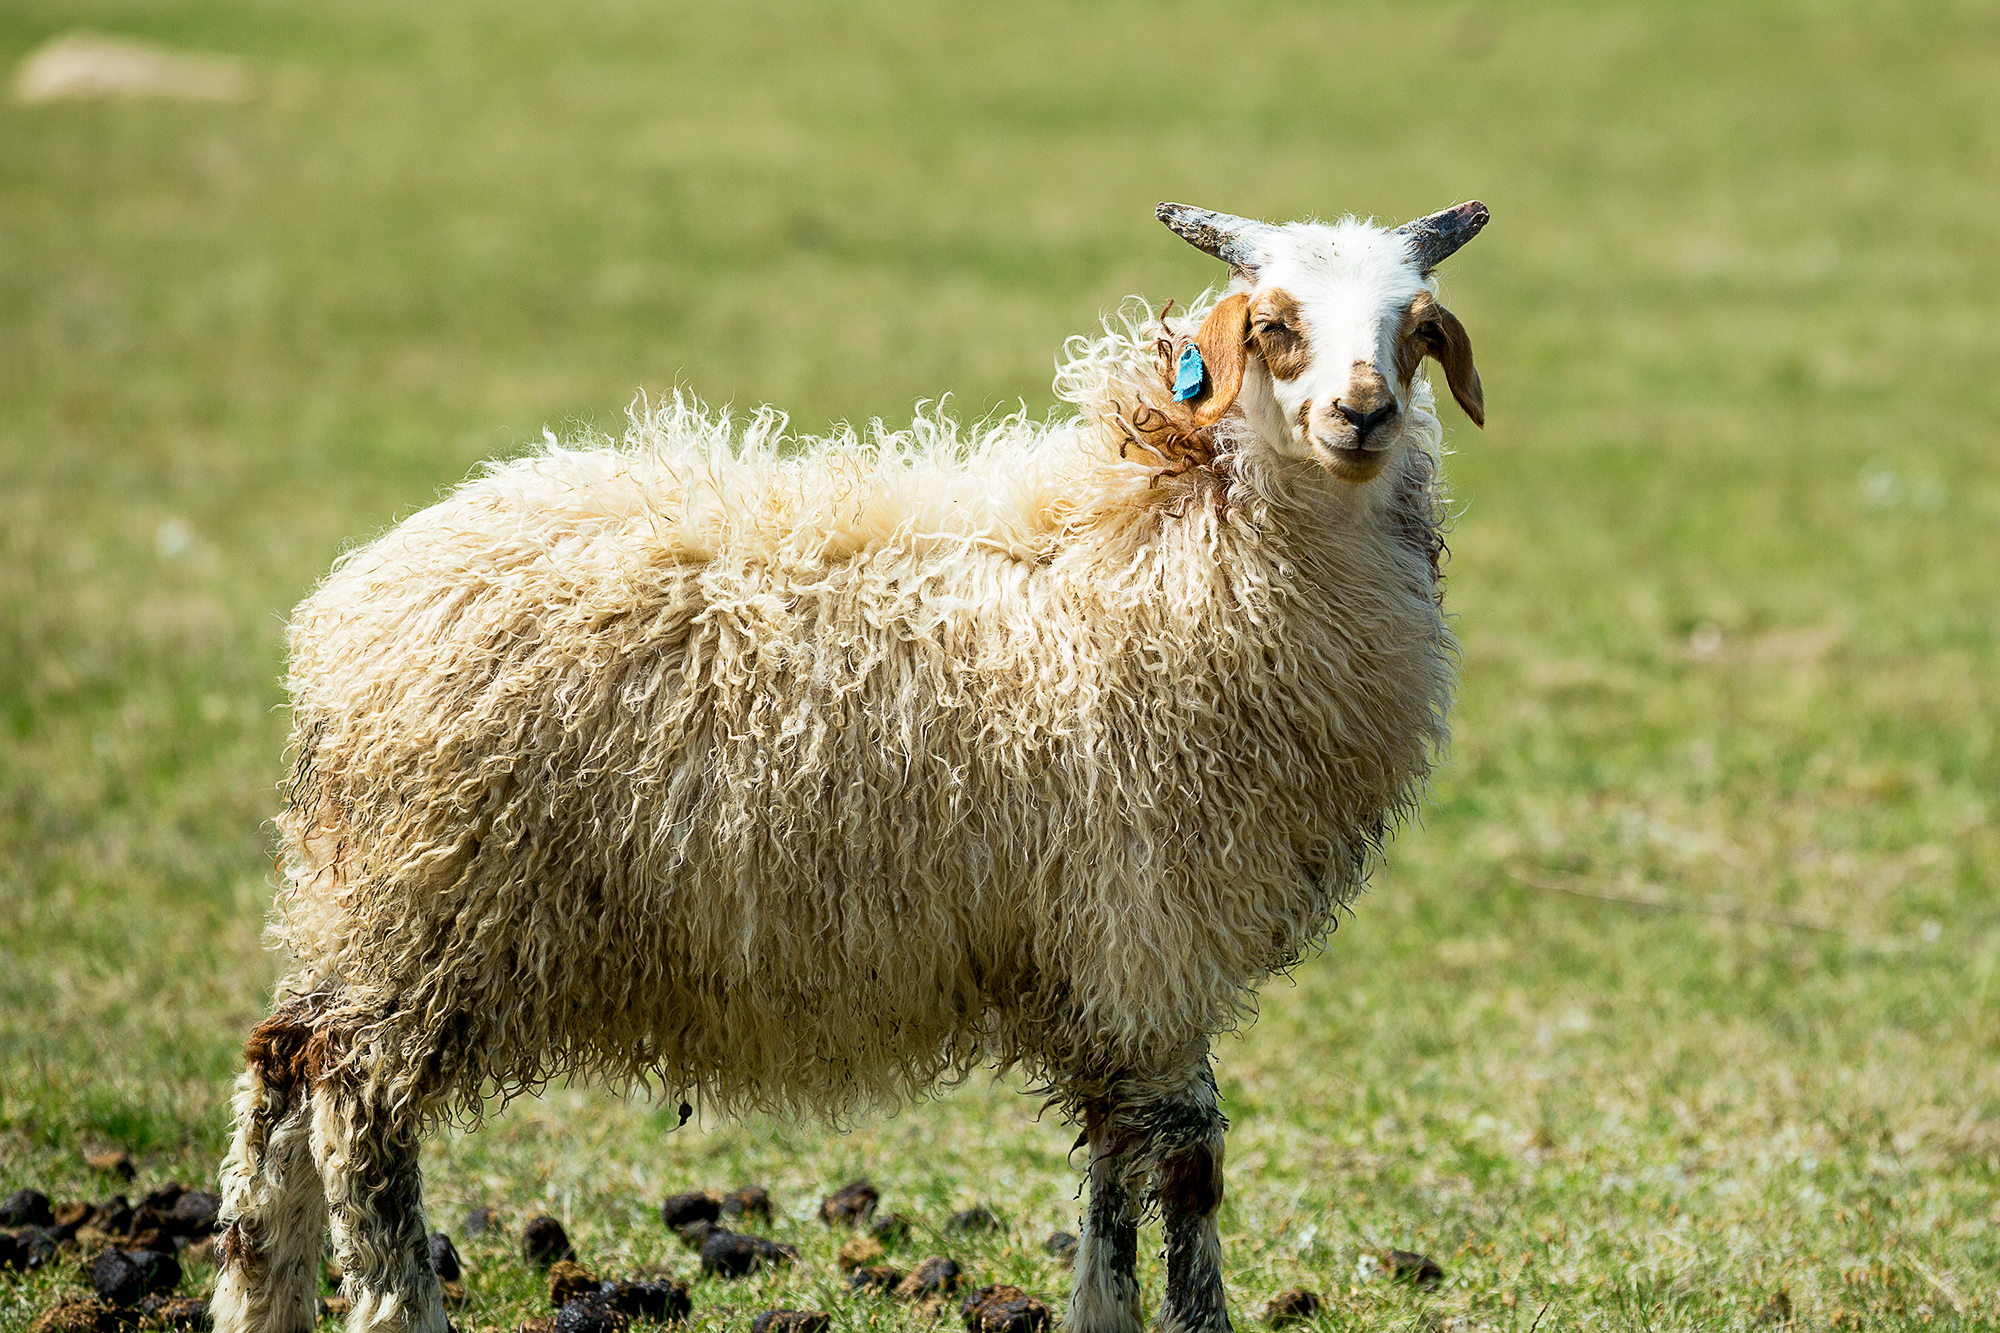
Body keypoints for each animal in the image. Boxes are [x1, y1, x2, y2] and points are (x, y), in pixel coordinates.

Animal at [211, 197, 1488, 1328]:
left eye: (1414, 327)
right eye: (1272, 323)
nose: (1361, 415)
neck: (1167, 548)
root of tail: (343, 619)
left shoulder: (1107, 965)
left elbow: (1117, 1168)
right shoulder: (1150, 934)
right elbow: (1185, 1164)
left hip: (372, 907)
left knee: (280, 1069)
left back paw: (258, 1299)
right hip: (439, 909)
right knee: (355, 1110)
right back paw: (394, 1307)